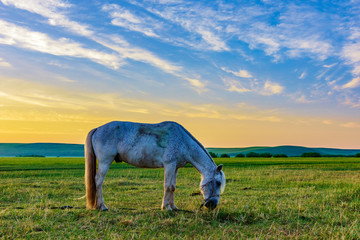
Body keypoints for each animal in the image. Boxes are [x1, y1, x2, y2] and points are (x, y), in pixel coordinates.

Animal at [84, 121, 225, 211]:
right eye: (218, 183)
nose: (213, 205)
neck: (184, 142)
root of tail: (98, 128)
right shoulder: (169, 165)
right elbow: (167, 186)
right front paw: (166, 207)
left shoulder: (175, 168)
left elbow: (173, 187)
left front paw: (173, 207)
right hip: (105, 162)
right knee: (98, 181)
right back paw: (102, 206)